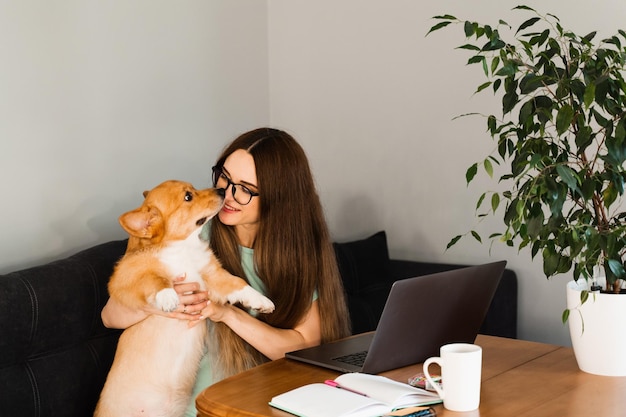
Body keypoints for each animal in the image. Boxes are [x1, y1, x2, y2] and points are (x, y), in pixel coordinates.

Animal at [93, 180, 272, 416]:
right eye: (188, 197)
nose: (221, 190)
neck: (183, 249)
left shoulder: (213, 274)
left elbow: (238, 283)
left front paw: (262, 302)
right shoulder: (124, 281)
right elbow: (154, 279)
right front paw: (168, 295)